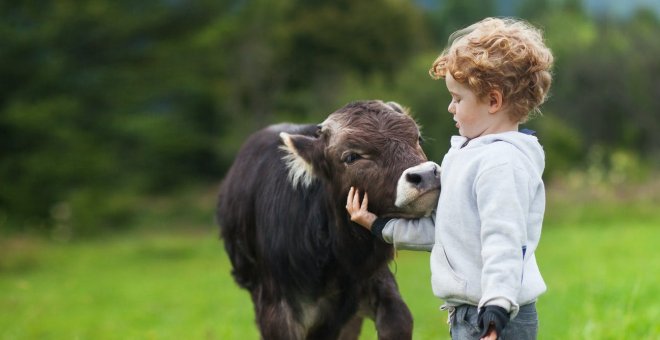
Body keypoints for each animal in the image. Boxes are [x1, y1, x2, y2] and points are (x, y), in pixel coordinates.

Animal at [217, 99, 440, 338]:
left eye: (418, 138)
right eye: (351, 156)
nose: (425, 175)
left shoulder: (373, 282)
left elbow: (398, 321)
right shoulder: (277, 308)